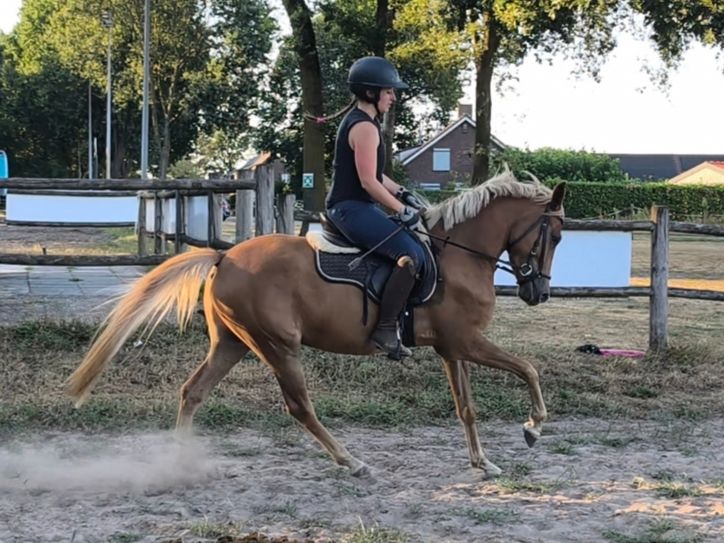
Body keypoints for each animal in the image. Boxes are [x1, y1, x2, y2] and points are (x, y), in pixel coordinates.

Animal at [66, 171, 566, 478]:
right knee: (299, 407)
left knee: (193, 392)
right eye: (556, 235)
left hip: (232, 343)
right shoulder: (467, 341)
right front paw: (533, 427)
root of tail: (225, 256)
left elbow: (467, 408)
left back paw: (184, 463)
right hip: (278, 345)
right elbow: (529, 369)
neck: (459, 255)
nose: (538, 293)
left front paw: (483, 463)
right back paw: (351, 461)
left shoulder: (452, 347)